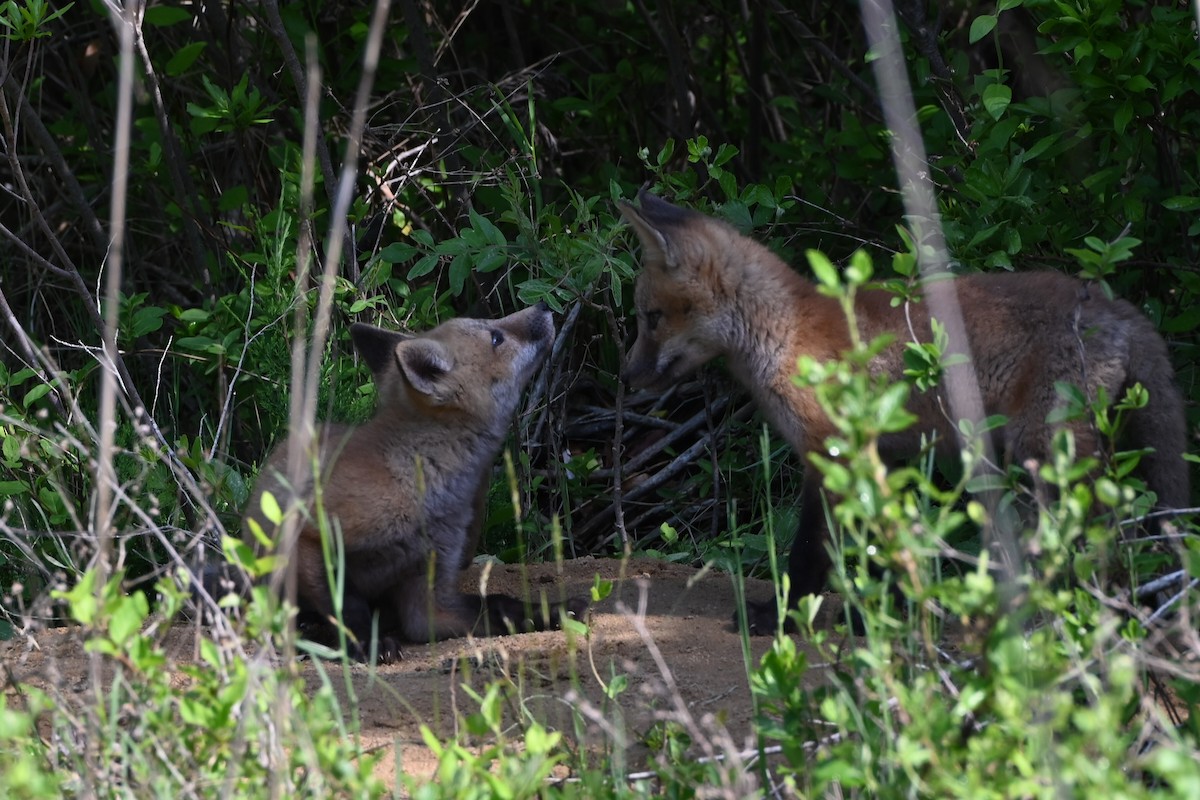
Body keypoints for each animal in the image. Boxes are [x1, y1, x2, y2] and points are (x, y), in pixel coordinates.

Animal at [242, 302, 586, 663]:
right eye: (496, 337)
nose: (544, 305)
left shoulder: (428, 595)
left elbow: (497, 608)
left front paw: (556, 611)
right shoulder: (308, 534)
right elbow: (347, 608)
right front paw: (367, 644)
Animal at [619, 189, 1189, 634]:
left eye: (651, 318)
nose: (628, 379)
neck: (783, 332)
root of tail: (1114, 304)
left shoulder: (833, 453)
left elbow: (813, 550)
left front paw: (786, 616)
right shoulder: (885, 456)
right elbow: (886, 546)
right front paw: (878, 616)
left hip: (1043, 456)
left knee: (1092, 538)